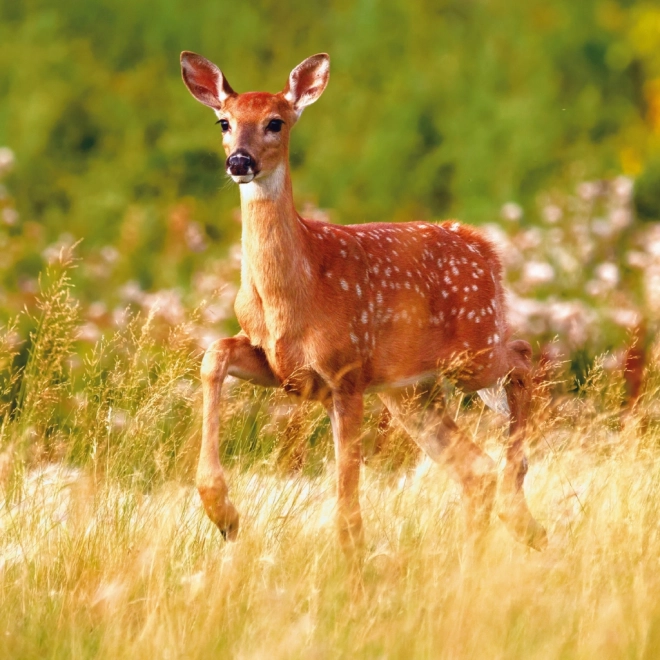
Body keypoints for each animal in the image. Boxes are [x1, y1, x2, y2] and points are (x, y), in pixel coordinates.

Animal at [180, 49, 548, 560]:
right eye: (223, 122)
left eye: (276, 121)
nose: (240, 160)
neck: (293, 293)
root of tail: (486, 248)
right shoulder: (279, 365)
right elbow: (213, 354)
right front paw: (224, 515)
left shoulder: (346, 369)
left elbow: (347, 494)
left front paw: (351, 561)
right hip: (410, 390)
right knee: (475, 468)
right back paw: (488, 547)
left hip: (471, 350)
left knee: (523, 356)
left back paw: (519, 510)